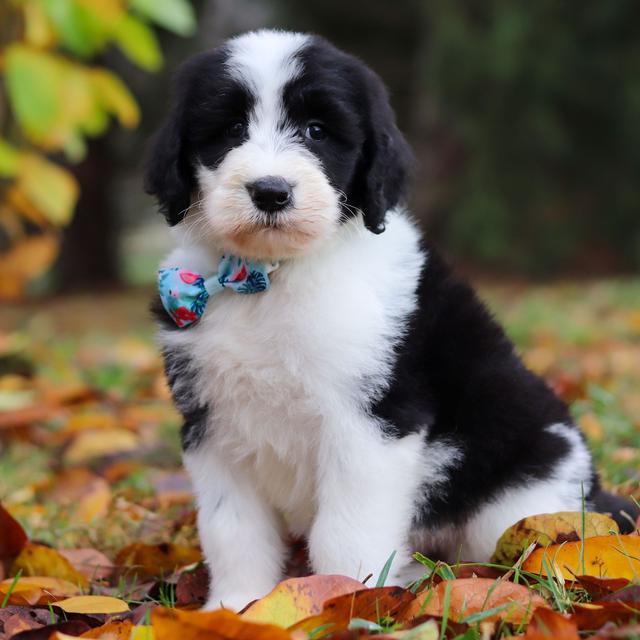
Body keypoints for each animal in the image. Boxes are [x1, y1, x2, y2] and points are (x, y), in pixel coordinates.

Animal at [146, 30, 636, 608]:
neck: (272, 277)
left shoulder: (371, 421)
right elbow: (233, 527)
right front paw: (236, 607)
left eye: (317, 131)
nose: (271, 191)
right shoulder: (213, 421)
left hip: (518, 504)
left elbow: (347, 528)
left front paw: (345, 600)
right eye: (230, 131)